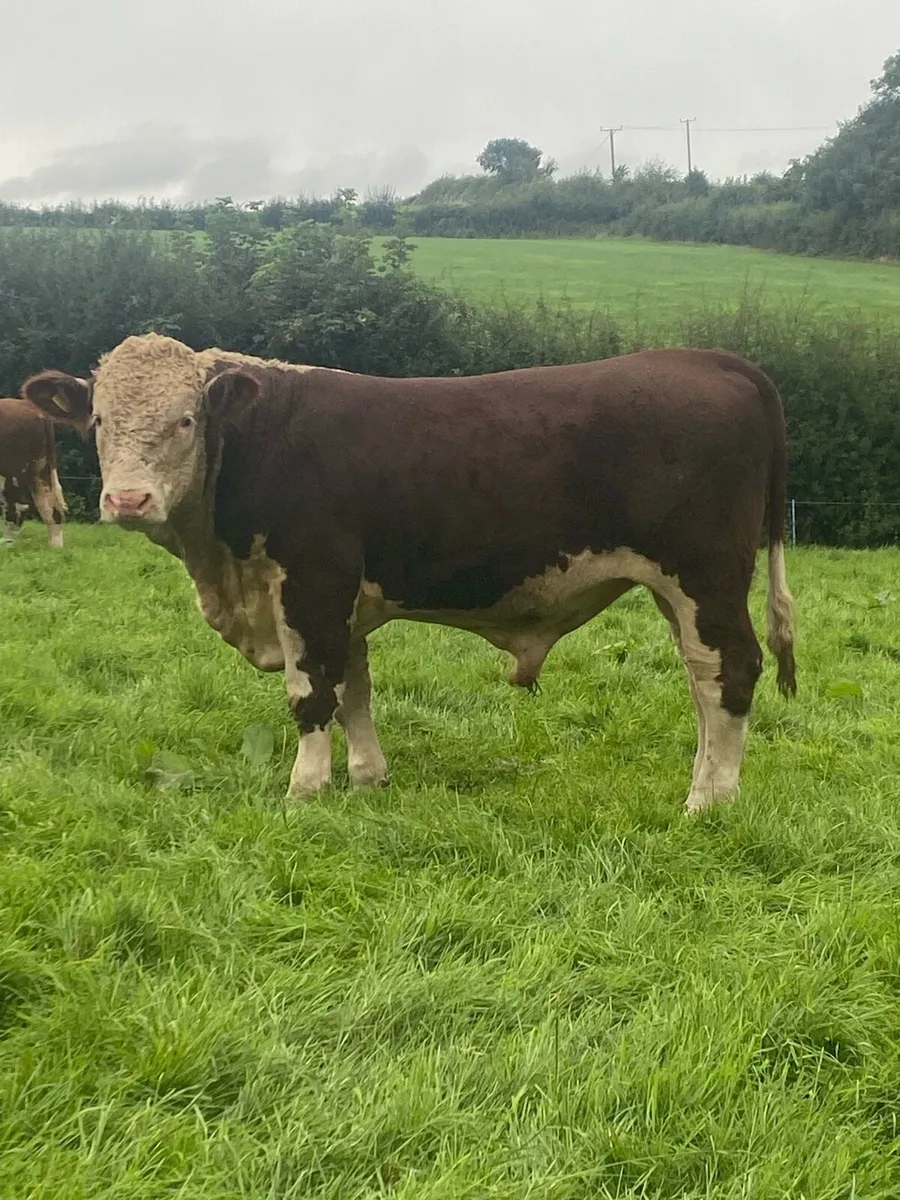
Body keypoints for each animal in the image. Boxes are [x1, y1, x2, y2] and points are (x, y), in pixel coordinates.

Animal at [0, 398, 67, 547]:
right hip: (41, 467)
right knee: (50, 503)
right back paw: (55, 546)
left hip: (13, 469)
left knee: (18, 504)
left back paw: (7, 543)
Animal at [23, 333, 796, 813]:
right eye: (97, 421)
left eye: (186, 420)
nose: (127, 499)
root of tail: (714, 360)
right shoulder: (341, 603)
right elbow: (354, 690)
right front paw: (367, 780)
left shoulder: (312, 582)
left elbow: (312, 695)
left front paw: (304, 791)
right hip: (681, 590)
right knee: (705, 680)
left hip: (705, 576)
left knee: (729, 671)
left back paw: (708, 800)